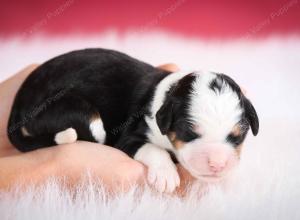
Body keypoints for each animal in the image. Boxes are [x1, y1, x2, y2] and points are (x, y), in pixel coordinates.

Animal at [8, 48, 258, 192]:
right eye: (190, 134)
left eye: (237, 137)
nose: (217, 165)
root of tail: (20, 100)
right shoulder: (128, 137)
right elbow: (152, 149)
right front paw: (166, 174)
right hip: (81, 115)